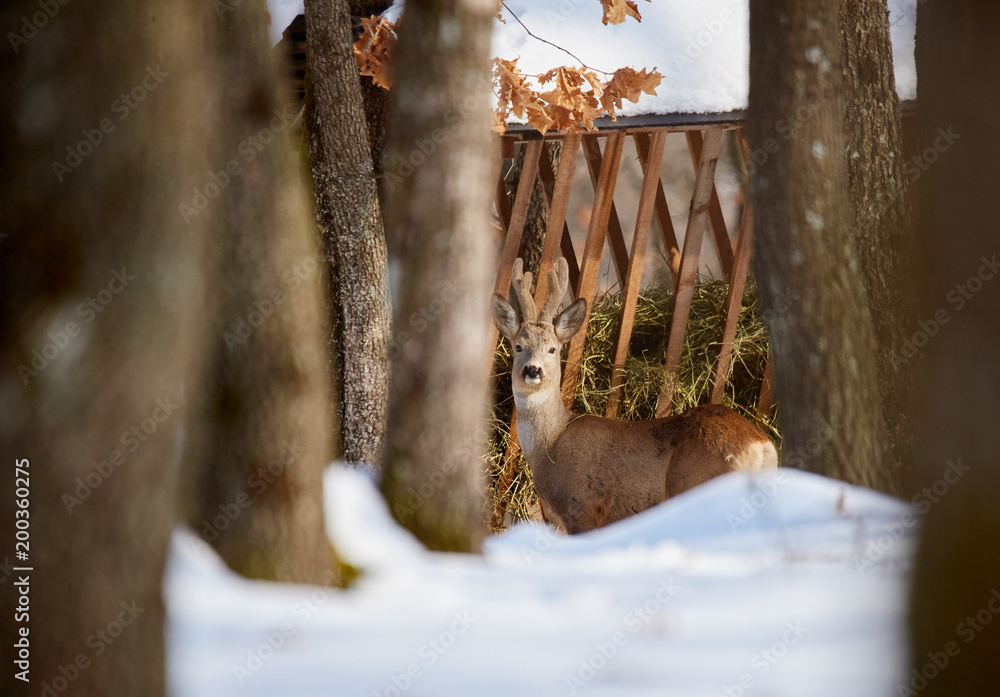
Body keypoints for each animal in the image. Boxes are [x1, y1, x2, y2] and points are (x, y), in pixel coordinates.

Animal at [491, 257, 778, 534]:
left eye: (552, 348)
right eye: (519, 346)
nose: (533, 370)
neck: (550, 444)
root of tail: (762, 444)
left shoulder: (581, 510)